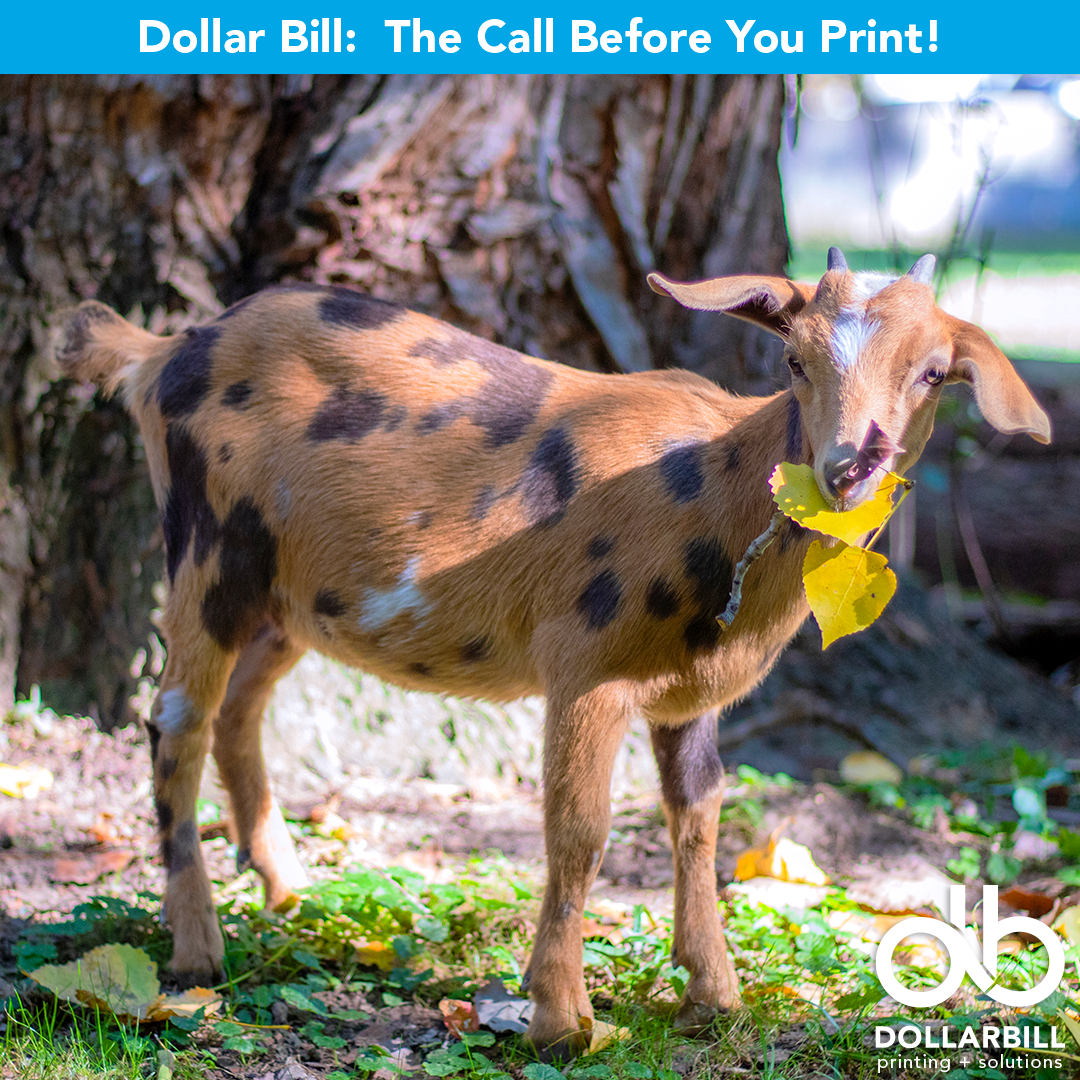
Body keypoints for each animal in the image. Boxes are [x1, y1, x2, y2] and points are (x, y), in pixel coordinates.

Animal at [55, 249, 1050, 1057]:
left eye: (933, 372)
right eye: (792, 359)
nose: (848, 467)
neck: (715, 487)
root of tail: (160, 353)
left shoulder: (693, 695)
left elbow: (701, 812)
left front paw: (712, 997)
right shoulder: (587, 667)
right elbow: (580, 830)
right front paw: (564, 1020)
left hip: (289, 598)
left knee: (239, 712)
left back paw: (288, 891)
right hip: (208, 547)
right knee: (174, 721)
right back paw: (196, 953)